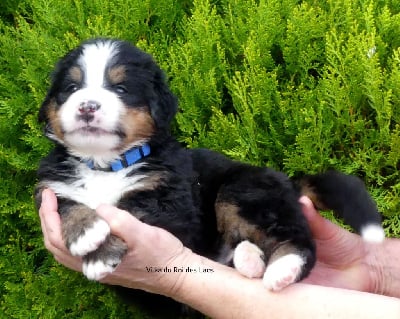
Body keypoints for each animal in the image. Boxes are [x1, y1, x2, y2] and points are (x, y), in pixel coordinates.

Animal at [36, 38, 386, 296]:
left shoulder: (171, 203)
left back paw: (281, 269)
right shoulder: (52, 188)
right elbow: (70, 205)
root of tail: (284, 179)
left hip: (241, 190)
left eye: (120, 89)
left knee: (298, 239)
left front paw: (98, 253)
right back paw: (250, 260)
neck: (105, 164)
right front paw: (86, 232)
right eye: (71, 88)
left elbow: (127, 210)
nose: (87, 107)